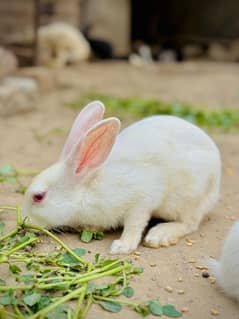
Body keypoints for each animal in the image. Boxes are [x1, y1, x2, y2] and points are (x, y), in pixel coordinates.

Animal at [22, 101, 220, 254]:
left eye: (38, 197)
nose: (24, 222)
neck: (87, 188)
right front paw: (91, 228)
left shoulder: (141, 201)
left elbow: (134, 224)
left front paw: (122, 247)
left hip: (188, 200)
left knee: (190, 223)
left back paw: (159, 235)